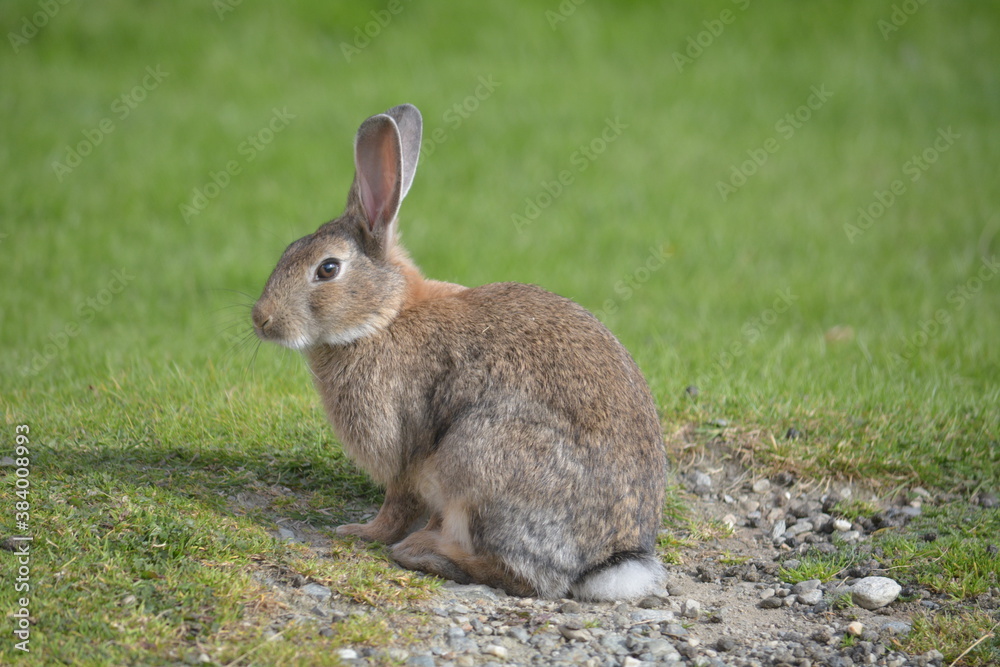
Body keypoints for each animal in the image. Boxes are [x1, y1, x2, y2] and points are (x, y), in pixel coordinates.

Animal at [254, 103, 668, 600]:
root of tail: (609, 561)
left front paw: (358, 532)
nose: (261, 319)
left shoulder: (403, 450)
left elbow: (396, 505)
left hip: (477, 459)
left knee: (519, 575)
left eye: (328, 269)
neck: (385, 315)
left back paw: (421, 552)